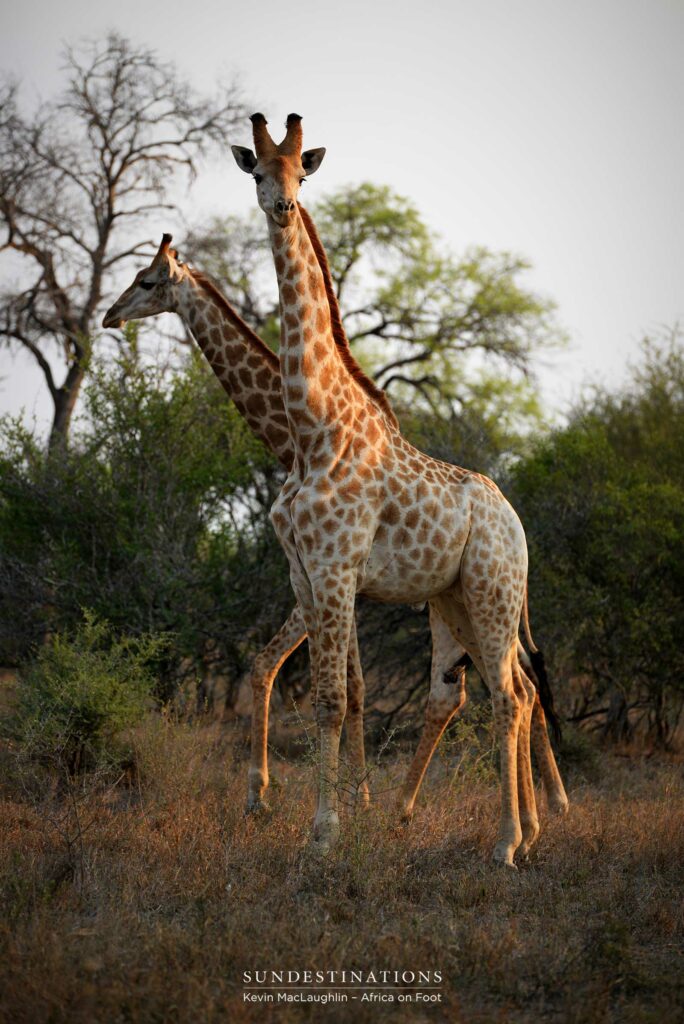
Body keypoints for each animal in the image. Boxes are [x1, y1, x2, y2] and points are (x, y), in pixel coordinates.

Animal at [231, 112, 563, 866]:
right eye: (258, 171)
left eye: (300, 174)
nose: (282, 207)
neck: (314, 429)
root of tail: (515, 521)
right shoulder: (302, 572)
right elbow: (326, 695)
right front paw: (328, 823)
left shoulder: (335, 567)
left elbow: (331, 699)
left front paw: (323, 836)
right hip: (459, 599)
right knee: (513, 691)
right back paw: (527, 834)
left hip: (494, 593)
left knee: (508, 697)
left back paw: (505, 844)